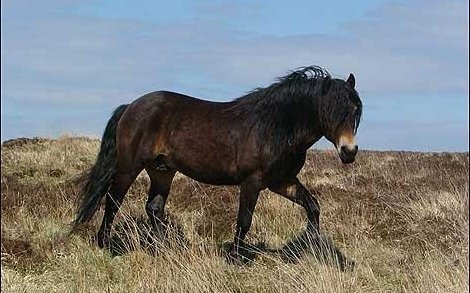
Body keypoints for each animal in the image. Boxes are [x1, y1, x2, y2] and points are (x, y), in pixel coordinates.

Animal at [72, 65, 364, 258]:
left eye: (355, 111)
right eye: (332, 110)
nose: (349, 151)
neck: (273, 128)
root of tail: (130, 106)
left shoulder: (282, 181)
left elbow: (312, 207)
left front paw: (313, 244)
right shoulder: (252, 181)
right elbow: (244, 219)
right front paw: (234, 257)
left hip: (162, 170)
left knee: (153, 208)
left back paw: (166, 250)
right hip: (129, 167)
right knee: (113, 201)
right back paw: (106, 245)